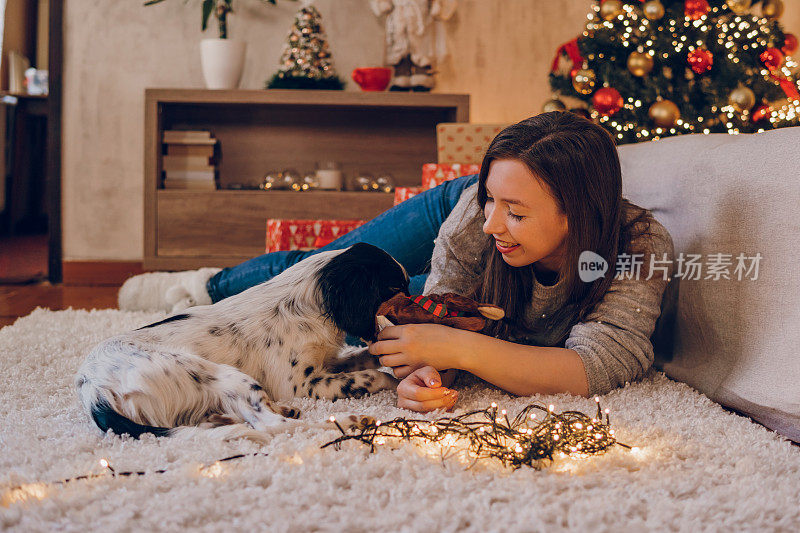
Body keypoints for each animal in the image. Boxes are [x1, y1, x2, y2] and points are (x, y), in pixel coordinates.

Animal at [73, 243, 406, 442]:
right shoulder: (300, 384)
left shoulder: (324, 361)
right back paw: (352, 421)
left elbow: (359, 358)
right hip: (222, 374)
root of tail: (94, 391)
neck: (303, 304)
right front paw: (390, 381)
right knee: (273, 426)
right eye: (395, 288)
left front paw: (382, 354)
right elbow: (367, 376)